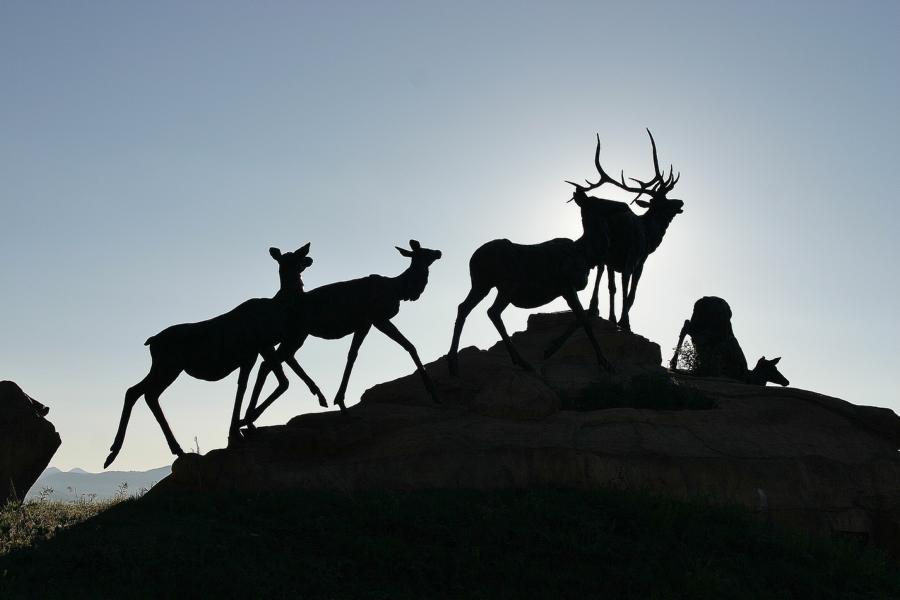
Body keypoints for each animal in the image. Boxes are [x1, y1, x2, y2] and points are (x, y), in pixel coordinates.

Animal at [103, 245, 322, 468]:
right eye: (296, 257)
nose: (310, 259)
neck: (278, 310)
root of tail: (151, 342)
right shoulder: (261, 347)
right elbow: (279, 382)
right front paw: (242, 424)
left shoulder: (252, 354)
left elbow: (245, 386)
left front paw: (237, 430)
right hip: (168, 365)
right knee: (140, 392)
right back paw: (115, 453)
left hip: (166, 367)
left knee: (143, 393)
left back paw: (171, 449)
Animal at [241, 239, 442, 426]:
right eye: (425, 251)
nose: (439, 252)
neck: (399, 289)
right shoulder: (375, 319)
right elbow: (404, 346)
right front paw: (433, 393)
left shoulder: (367, 323)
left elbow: (357, 354)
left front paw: (340, 402)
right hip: (295, 335)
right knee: (267, 365)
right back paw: (249, 418)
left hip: (295, 336)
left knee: (278, 360)